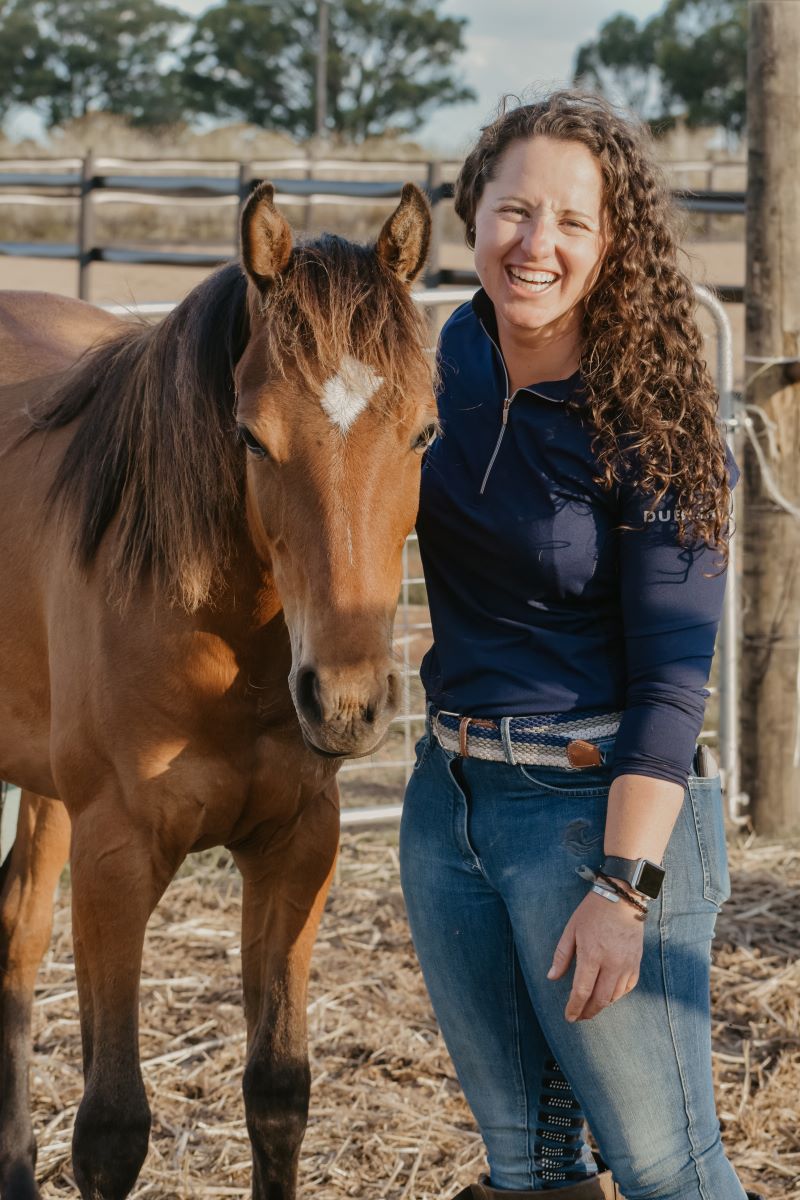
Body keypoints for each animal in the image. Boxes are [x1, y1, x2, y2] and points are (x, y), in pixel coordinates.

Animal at [0, 180, 438, 1200]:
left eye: (426, 431)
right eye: (251, 437)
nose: (346, 701)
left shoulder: (296, 845)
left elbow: (278, 1090)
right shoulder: (116, 859)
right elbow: (112, 1129)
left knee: (15, 939)